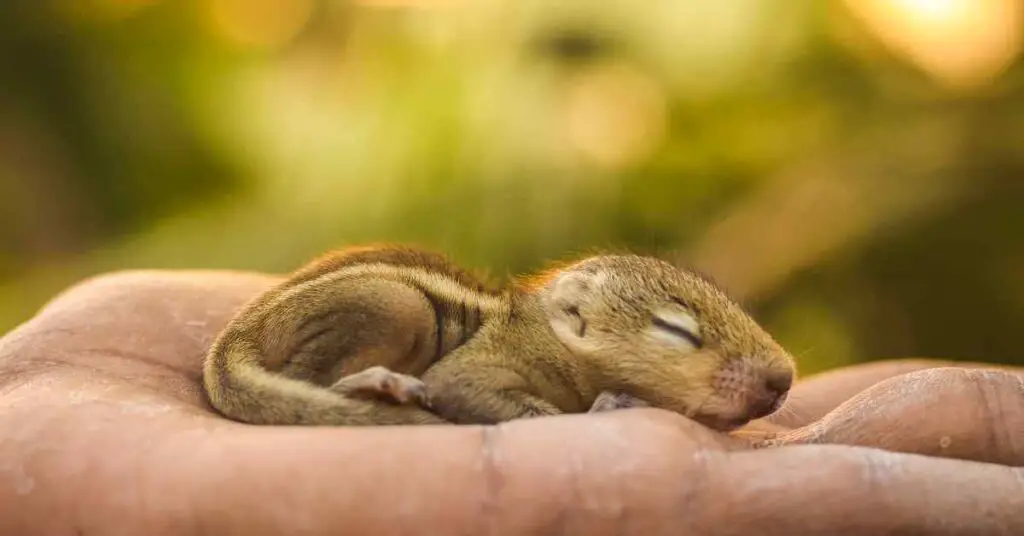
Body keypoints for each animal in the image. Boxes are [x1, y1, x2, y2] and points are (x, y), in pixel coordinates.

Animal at [202, 244, 796, 430]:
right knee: (315, 380)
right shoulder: (477, 367)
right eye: (675, 328)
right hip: (401, 306)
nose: (784, 379)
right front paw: (607, 406)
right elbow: (459, 386)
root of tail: (235, 337)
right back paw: (381, 384)